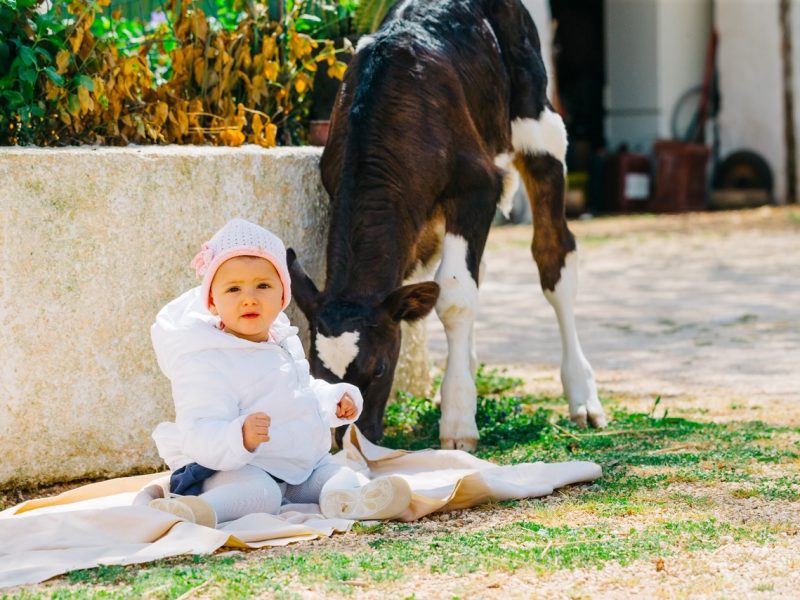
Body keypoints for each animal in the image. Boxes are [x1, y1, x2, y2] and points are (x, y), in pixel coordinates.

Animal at [288, 0, 608, 450]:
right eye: (318, 375)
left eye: (379, 369)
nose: (352, 441)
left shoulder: (478, 186)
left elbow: (454, 295)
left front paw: (458, 422)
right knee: (483, 269)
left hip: (540, 131)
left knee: (554, 258)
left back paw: (582, 396)